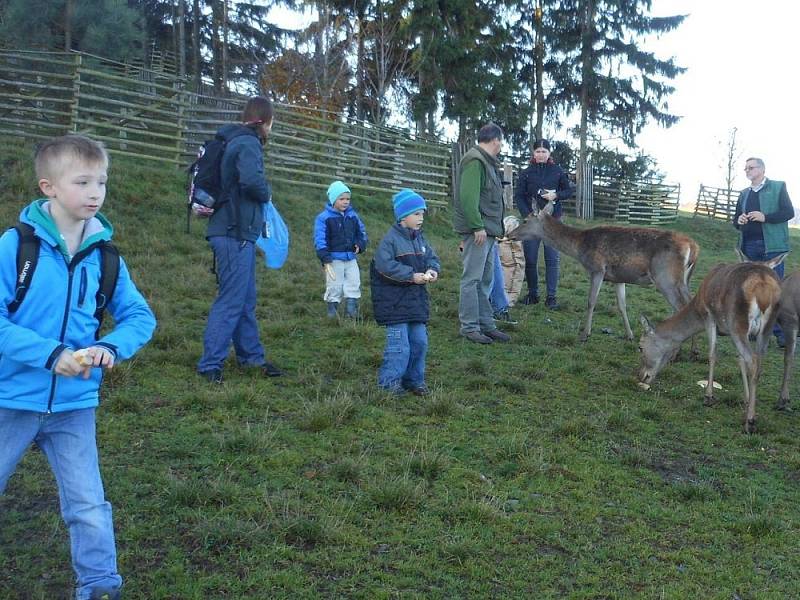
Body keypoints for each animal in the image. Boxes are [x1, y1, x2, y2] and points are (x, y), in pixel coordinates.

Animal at [510, 203, 696, 340]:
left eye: (525, 220)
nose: (510, 234)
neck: (579, 247)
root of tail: (693, 246)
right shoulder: (618, 278)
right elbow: (622, 305)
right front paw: (630, 335)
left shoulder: (597, 269)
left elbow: (591, 301)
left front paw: (585, 334)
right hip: (682, 281)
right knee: (690, 303)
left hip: (665, 277)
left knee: (682, 307)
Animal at [640, 260, 784, 434]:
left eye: (640, 347)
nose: (641, 376)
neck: (697, 306)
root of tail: (764, 285)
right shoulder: (729, 331)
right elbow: (739, 360)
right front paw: (746, 399)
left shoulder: (709, 317)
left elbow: (712, 354)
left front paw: (708, 396)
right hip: (766, 329)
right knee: (759, 362)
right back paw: (751, 414)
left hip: (738, 323)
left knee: (753, 361)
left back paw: (750, 422)